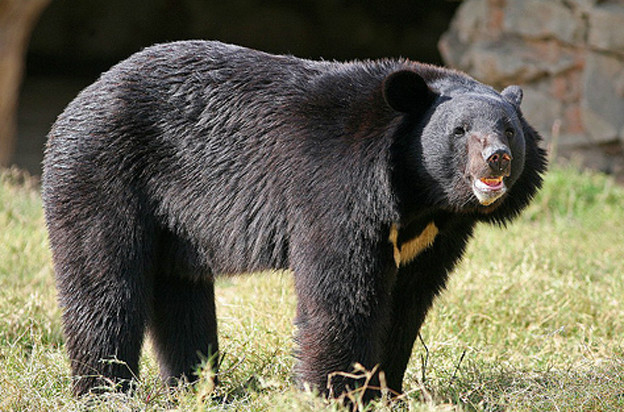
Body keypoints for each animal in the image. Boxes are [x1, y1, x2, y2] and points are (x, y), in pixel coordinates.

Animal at [42, 40, 544, 400]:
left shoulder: (436, 235)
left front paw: (385, 391)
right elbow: (341, 291)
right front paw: (333, 392)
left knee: (180, 292)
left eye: (509, 130)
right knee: (103, 282)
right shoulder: (337, 188)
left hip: (174, 219)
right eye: (460, 132)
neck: (420, 197)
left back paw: (195, 387)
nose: (497, 159)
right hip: (102, 174)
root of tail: (76, 102)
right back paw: (104, 390)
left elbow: (408, 300)